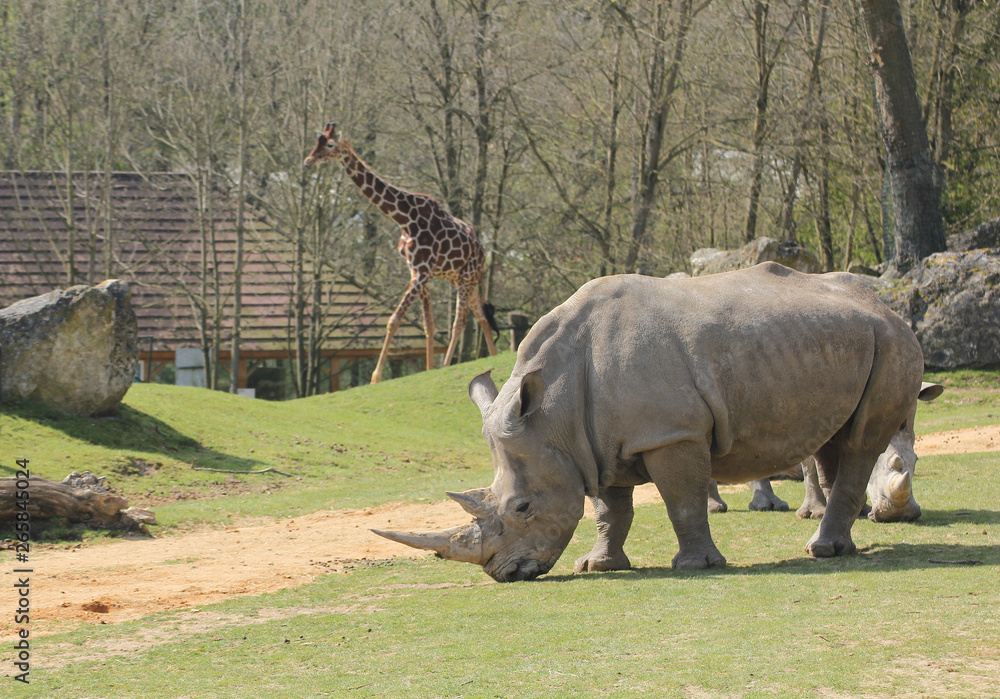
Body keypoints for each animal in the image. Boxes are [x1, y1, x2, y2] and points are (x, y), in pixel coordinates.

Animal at [304, 122, 498, 384]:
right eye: (317, 142)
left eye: (330, 144)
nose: (308, 162)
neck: (404, 218)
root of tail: (483, 250)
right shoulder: (418, 272)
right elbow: (429, 325)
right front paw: (428, 368)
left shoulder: (421, 273)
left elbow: (393, 320)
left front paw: (375, 377)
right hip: (462, 279)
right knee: (483, 317)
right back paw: (495, 357)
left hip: (467, 277)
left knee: (460, 321)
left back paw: (448, 364)